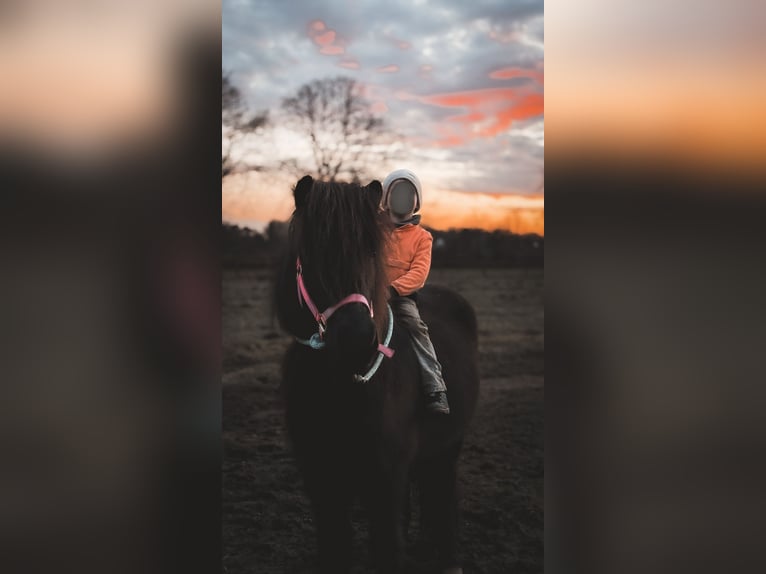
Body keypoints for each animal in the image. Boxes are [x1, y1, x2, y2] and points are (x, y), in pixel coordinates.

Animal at [275, 175, 480, 574]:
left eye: (372, 252)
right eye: (312, 253)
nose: (356, 337)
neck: (340, 387)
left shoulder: (384, 482)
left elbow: (386, 546)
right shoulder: (322, 484)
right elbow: (336, 547)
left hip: (448, 446)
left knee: (442, 494)